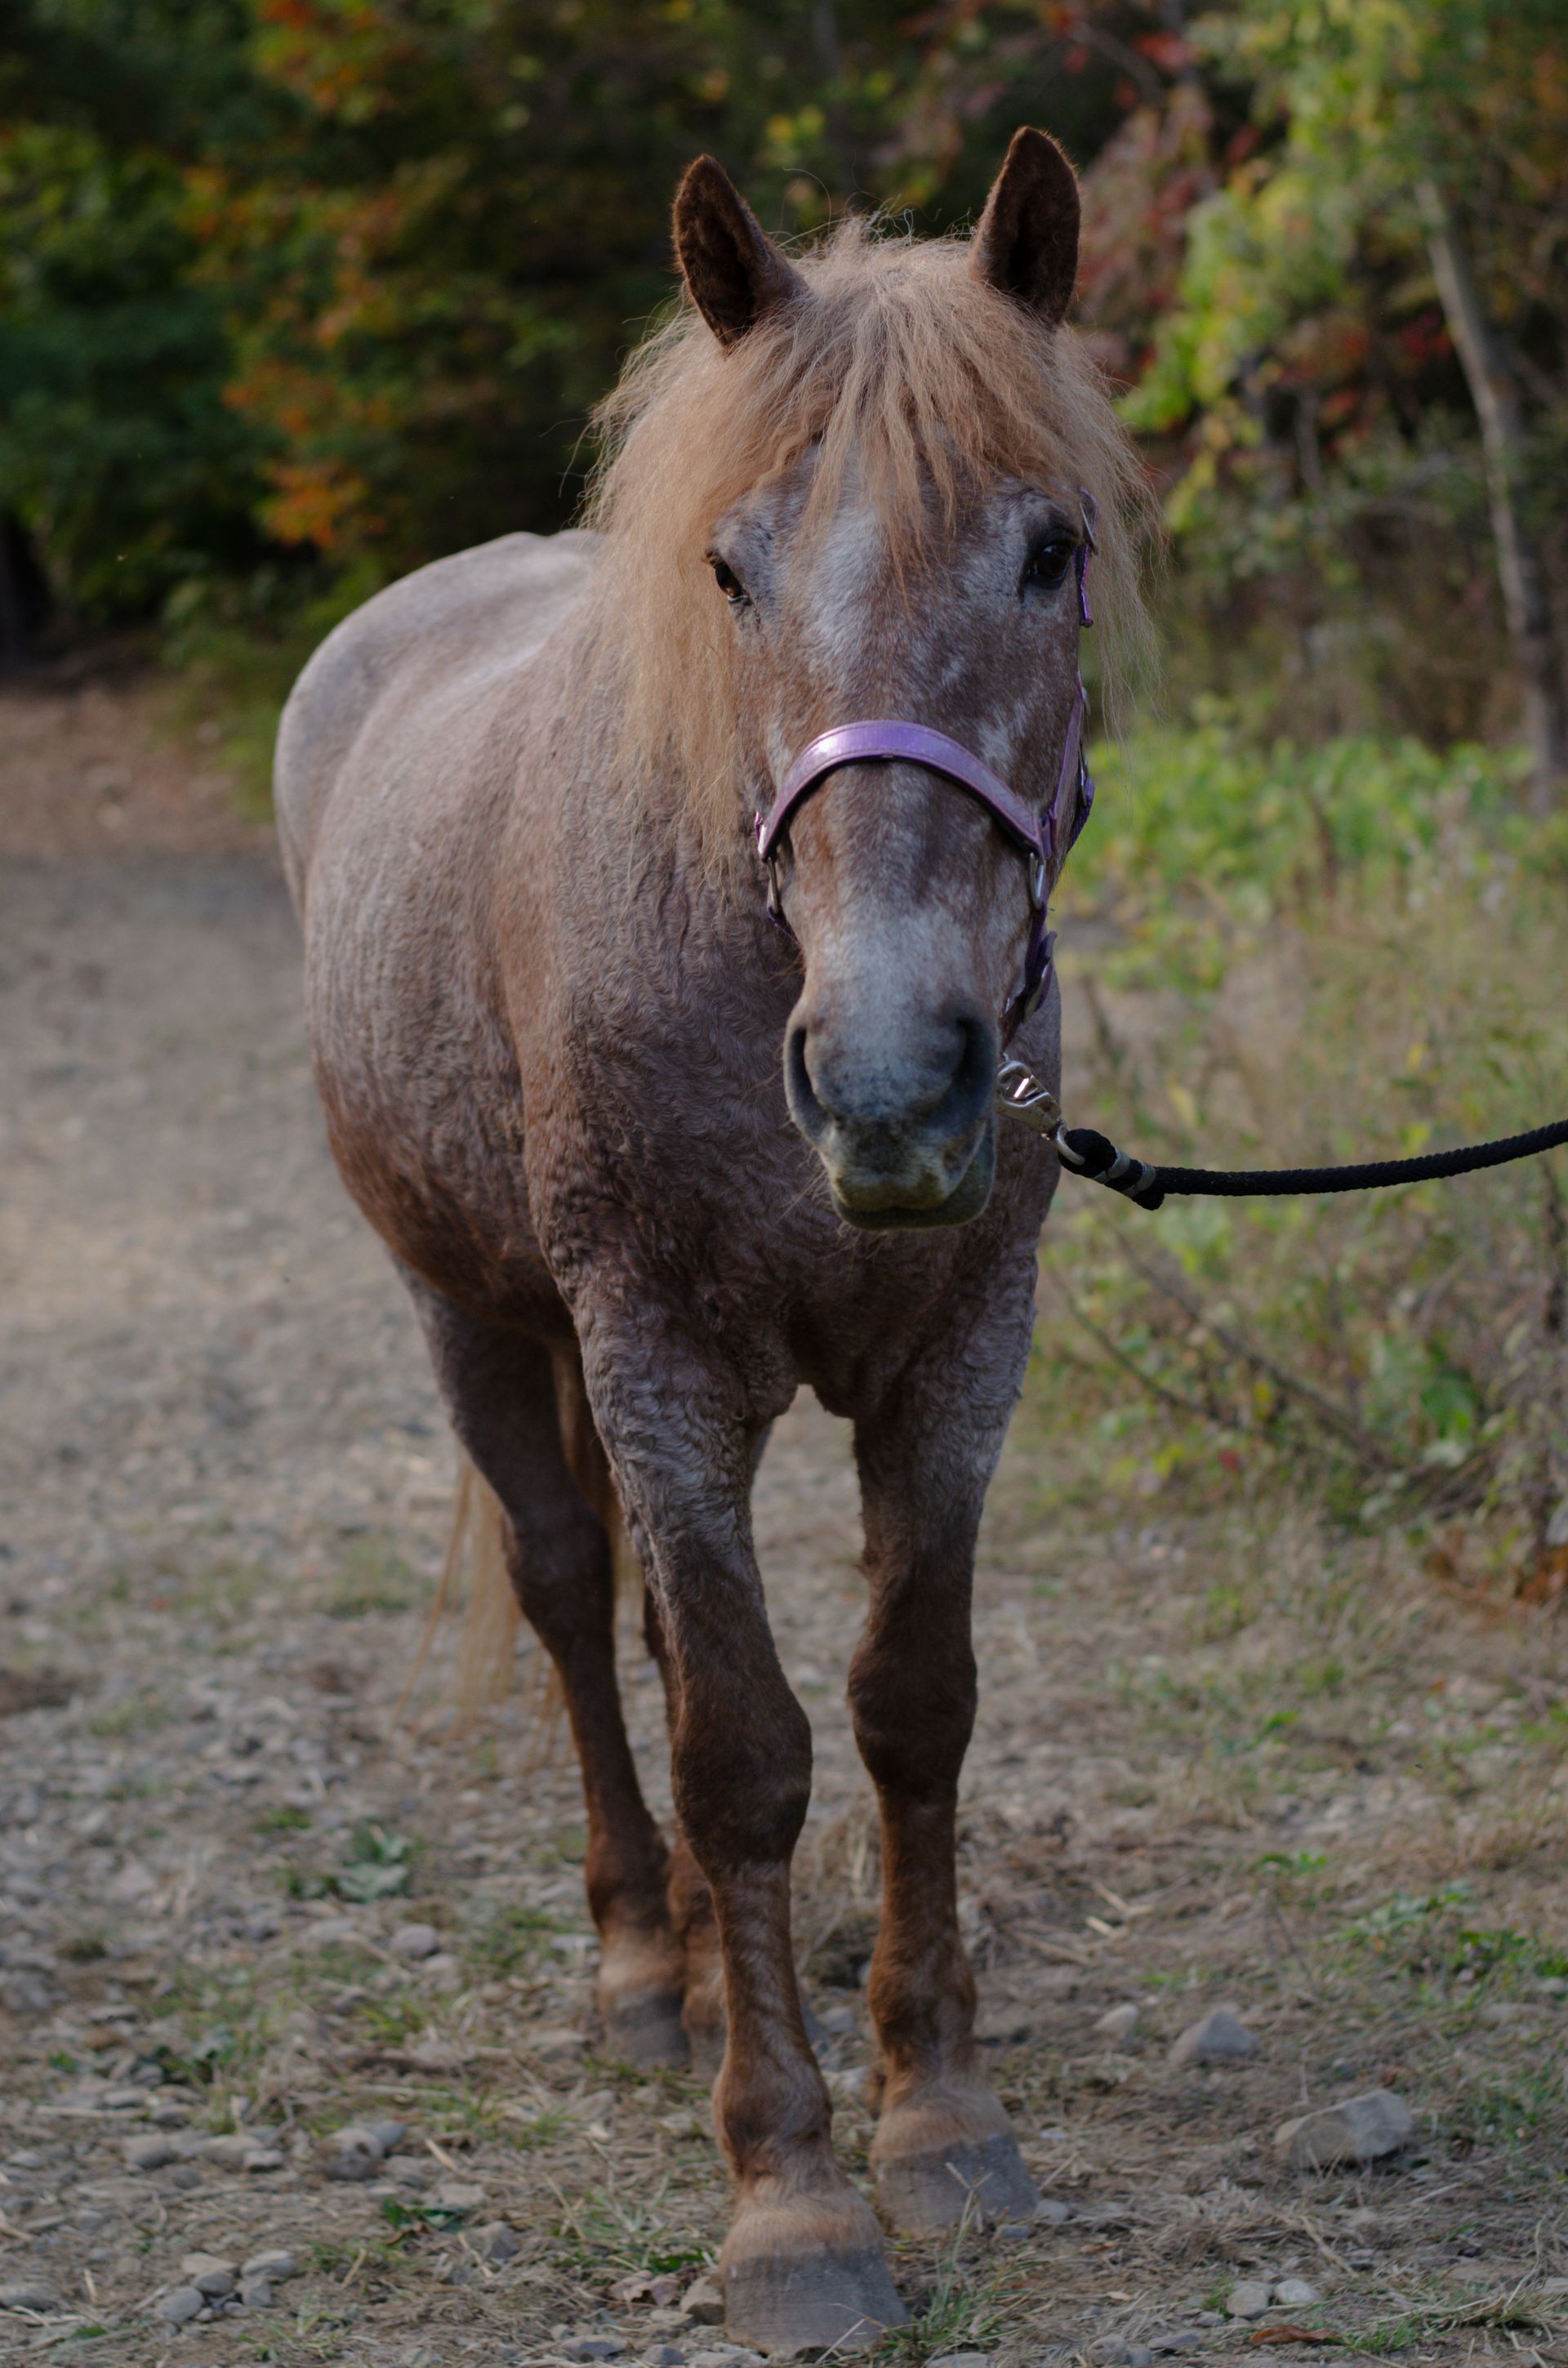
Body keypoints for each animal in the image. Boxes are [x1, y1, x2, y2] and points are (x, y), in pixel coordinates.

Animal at [275, 128, 1149, 2353]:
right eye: (732, 572)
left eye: (1049, 549)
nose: (895, 1079)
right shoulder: (654, 1351)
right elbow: (740, 1748)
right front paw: (794, 2194)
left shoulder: (963, 1349)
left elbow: (912, 1701)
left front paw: (939, 2111)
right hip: (479, 1319)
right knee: (582, 1606)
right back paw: (638, 1964)